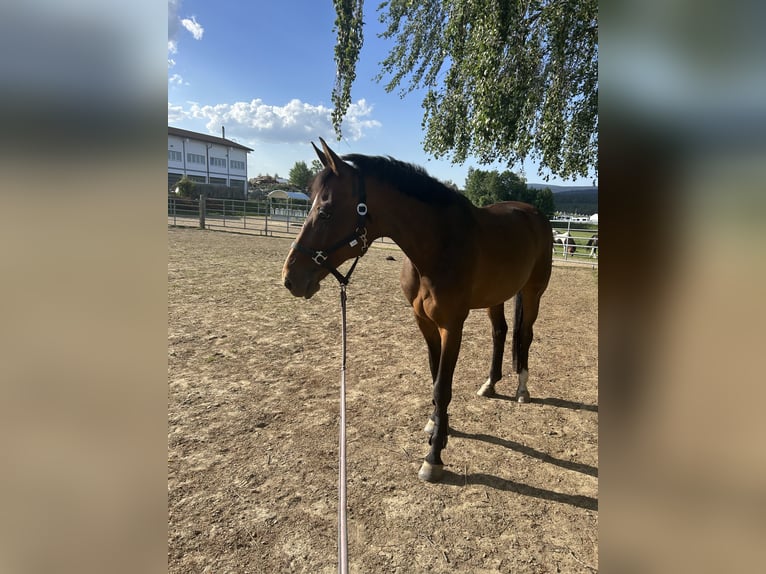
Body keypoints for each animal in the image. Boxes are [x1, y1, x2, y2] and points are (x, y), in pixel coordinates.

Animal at [282, 138, 553, 483]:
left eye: (326, 212)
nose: (290, 278)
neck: (438, 245)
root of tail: (533, 214)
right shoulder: (424, 322)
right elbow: (434, 377)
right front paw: (437, 425)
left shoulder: (452, 325)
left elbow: (443, 386)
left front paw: (433, 456)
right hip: (497, 296)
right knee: (500, 332)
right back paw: (490, 384)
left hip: (533, 293)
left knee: (525, 335)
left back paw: (521, 389)